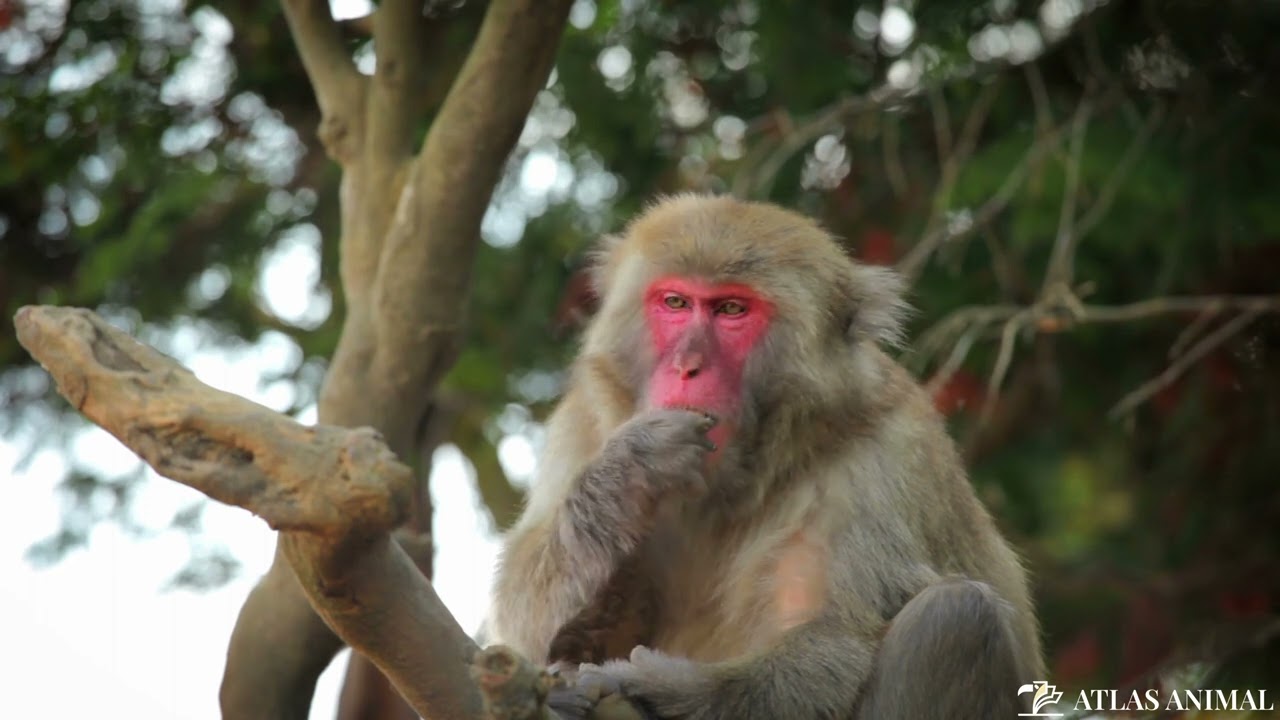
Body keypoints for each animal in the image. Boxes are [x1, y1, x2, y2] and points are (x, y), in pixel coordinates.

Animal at [486, 194, 1045, 720]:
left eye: (732, 310)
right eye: (675, 302)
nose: (687, 366)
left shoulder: (888, 451)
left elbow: (837, 637)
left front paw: (659, 685)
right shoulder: (583, 420)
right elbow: (523, 625)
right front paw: (632, 469)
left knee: (958, 616)